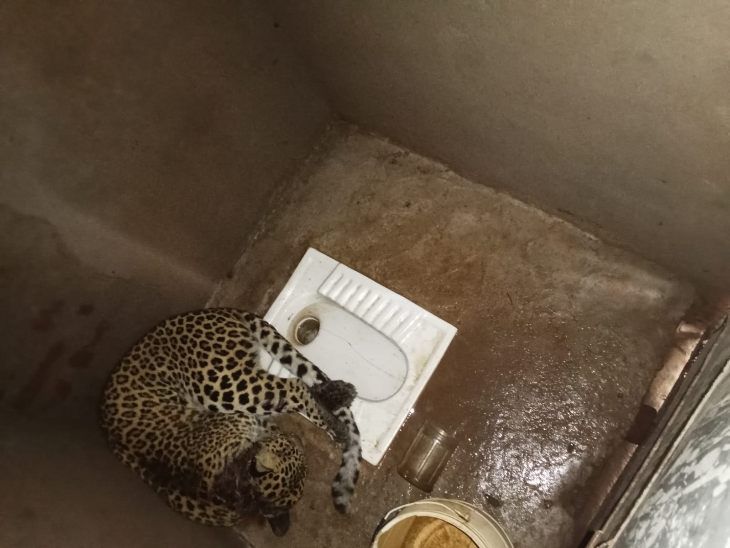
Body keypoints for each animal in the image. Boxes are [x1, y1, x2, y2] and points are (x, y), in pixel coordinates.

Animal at [100, 308, 362, 536]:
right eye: (298, 457)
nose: (296, 439)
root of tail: (219, 311)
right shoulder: (252, 421)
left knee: (294, 387)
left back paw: (341, 397)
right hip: (226, 388)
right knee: (294, 387)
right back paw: (340, 413)